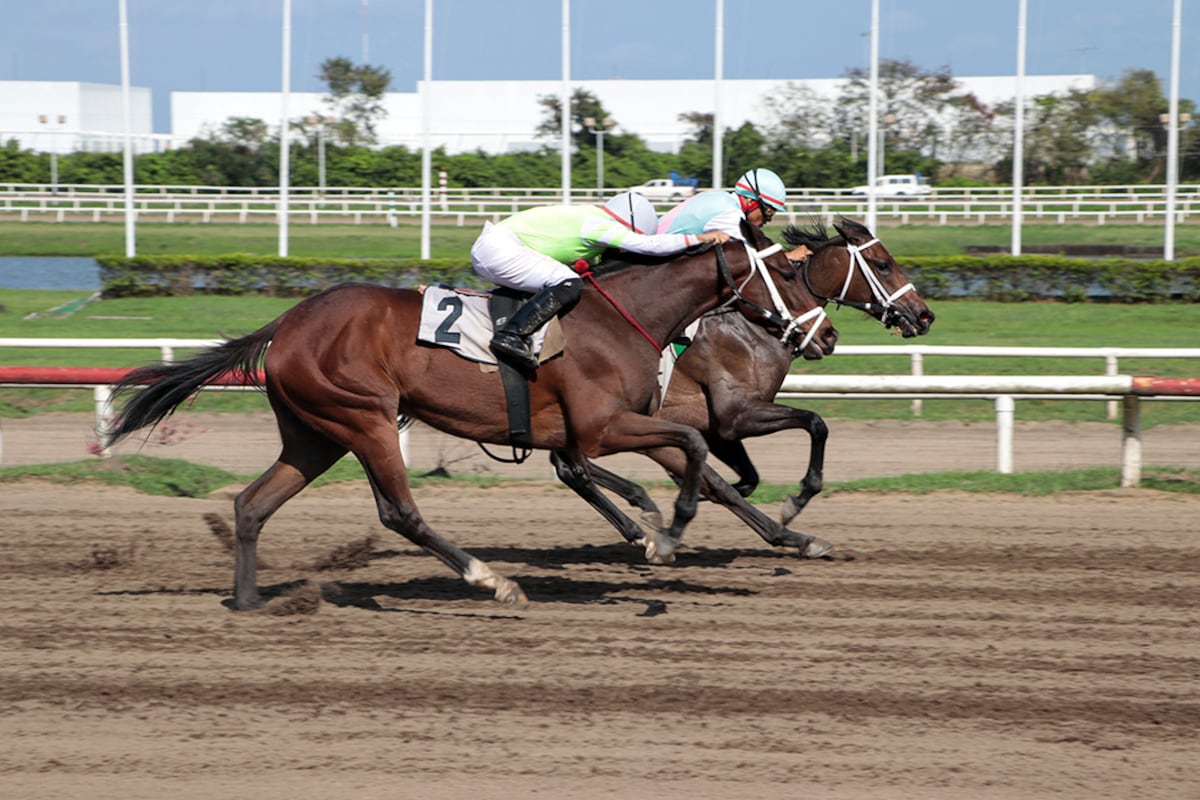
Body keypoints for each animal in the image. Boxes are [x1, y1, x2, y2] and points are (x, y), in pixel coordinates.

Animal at [103, 237, 835, 606]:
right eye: (788, 277)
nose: (824, 336)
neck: (623, 317)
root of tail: (286, 323)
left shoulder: (602, 430)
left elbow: (693, 459)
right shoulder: (601, 427)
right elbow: (690, 449)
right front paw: (666, 535)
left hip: (314, 434)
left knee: (252, 504)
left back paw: (251, 600)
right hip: (364, 418)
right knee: (399, 512)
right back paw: (492, 579)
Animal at [552, 217, 936, 544]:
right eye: (883, 264)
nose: (925, 315)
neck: (754, 325)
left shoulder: (713, 427)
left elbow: (746, 479)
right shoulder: (735, 414)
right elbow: (815, 423)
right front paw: (795, 502)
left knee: (571, 467)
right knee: (573, 468)